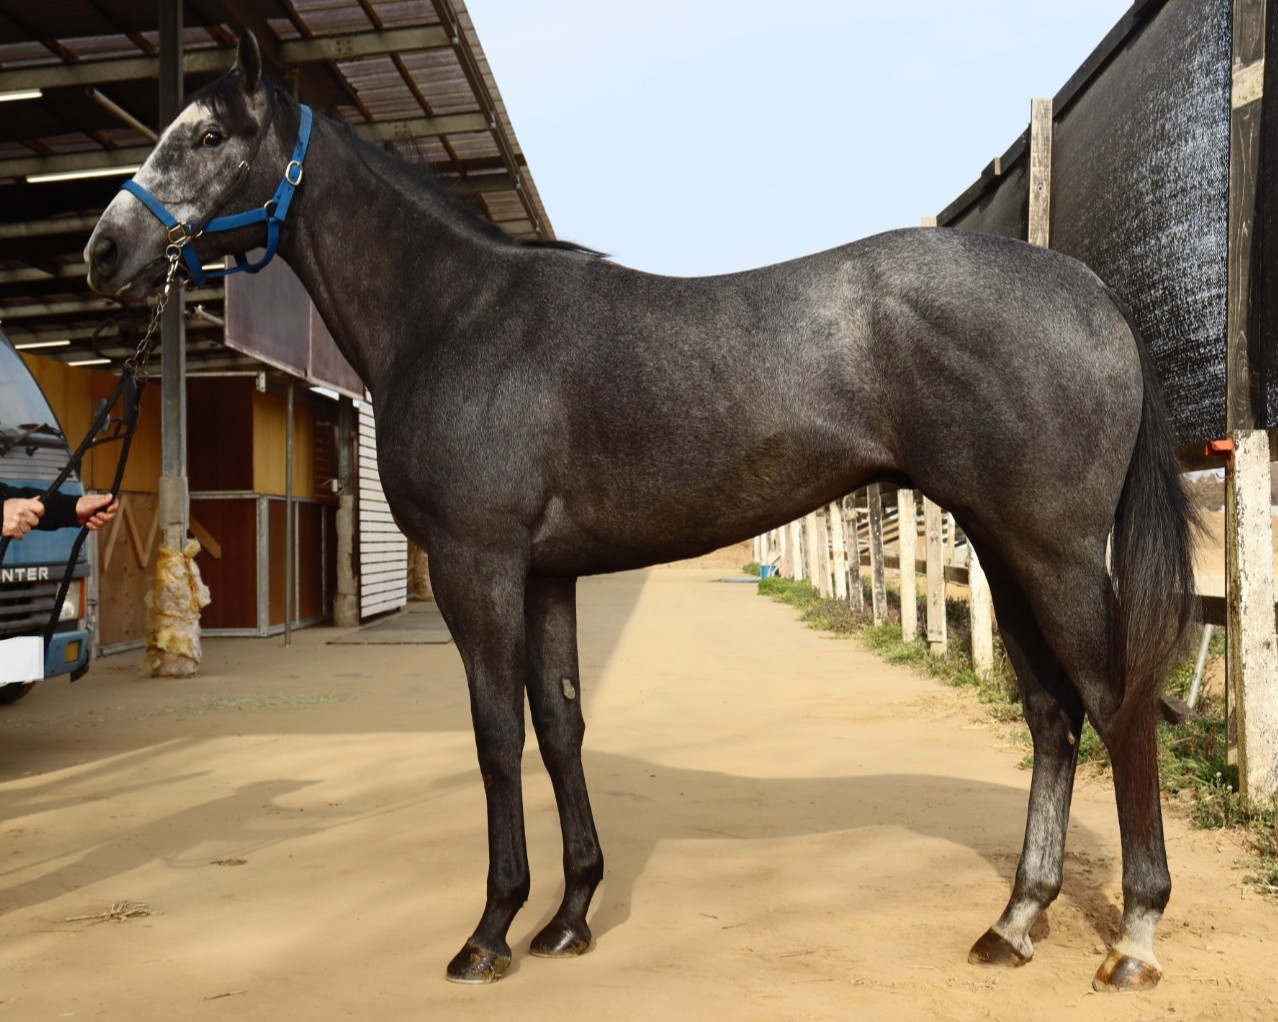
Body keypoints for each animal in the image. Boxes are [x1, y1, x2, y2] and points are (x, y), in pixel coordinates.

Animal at [85, 31, 1197, 993]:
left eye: (208, 135)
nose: (104, 249)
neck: (454, 316)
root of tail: (1092, 290)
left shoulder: (478, 562)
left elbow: (496, 731)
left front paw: (491, 930)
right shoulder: (543, 574)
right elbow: (560, 723)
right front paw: (570, 915)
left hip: (1053, 552)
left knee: (1117, 703)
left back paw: (1136, 936)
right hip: (1005, 549)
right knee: (1053, 715)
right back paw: (1016, 919)